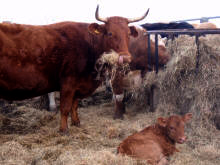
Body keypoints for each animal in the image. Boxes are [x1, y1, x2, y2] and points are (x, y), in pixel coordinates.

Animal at [0, 5, 150, 133]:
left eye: (128, 34)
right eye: (110, 33)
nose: (125, 58)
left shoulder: (78, 84)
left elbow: (75, 104)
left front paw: (76, 122)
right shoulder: (68, 83)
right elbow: (65, 107)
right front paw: (64, 129)